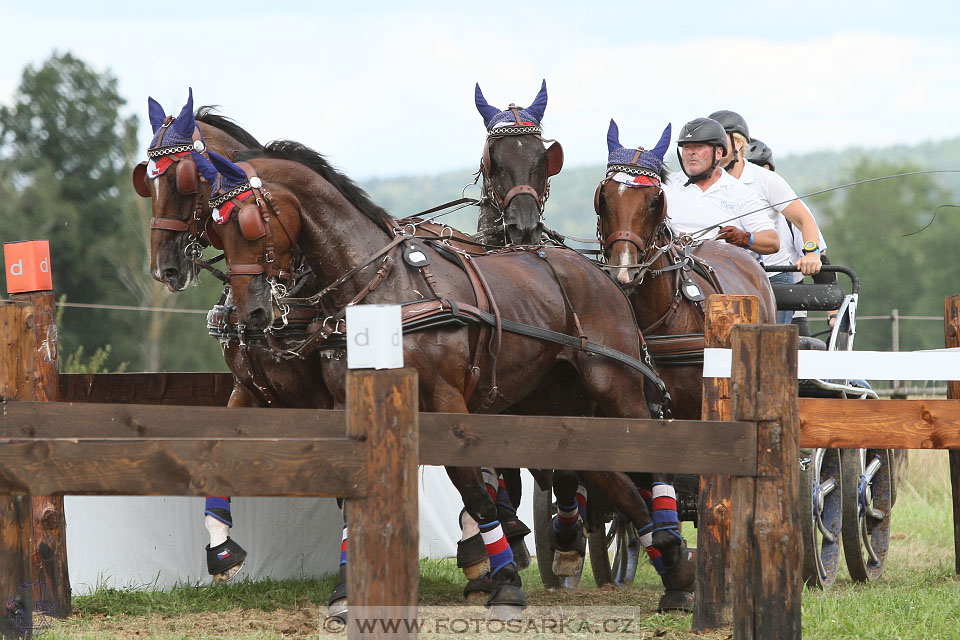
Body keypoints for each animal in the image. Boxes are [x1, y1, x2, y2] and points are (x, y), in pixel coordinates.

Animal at [196, 141, 676, 608]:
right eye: (217, 228)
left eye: (250, 223)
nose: (251, 312)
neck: (384, 290)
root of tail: (603, 274)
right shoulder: (339, 404)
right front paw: (346, 588)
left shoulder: (446, 402)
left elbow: (477, 496)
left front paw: (504, 582)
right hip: (561, 407)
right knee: (613, 483)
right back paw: (672, 566)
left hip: (617, 390)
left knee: (651, 465)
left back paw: (672, 557)